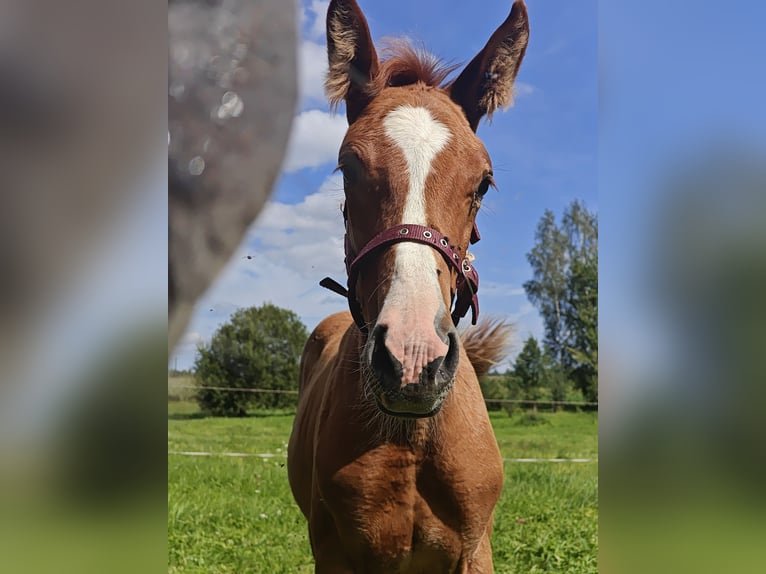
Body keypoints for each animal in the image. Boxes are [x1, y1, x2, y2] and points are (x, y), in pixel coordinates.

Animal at [288, 2, 528, 572]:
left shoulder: (474, 550)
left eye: (483, 182)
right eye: (347, 167)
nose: (413, 357)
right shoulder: (336, 554)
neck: (412, 440)